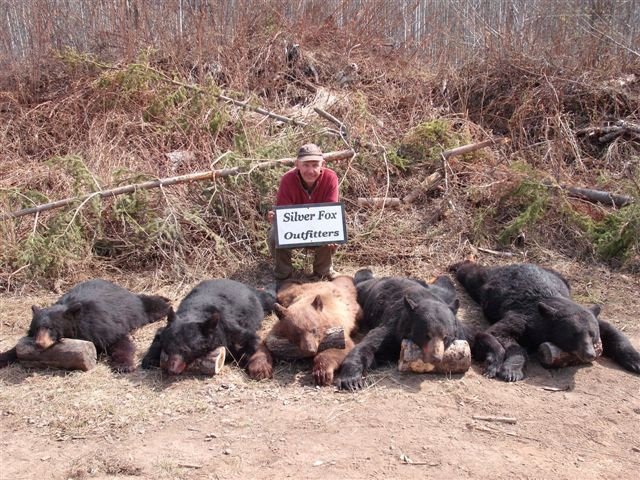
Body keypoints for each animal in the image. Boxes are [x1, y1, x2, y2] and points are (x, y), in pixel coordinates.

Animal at [0, 280, 171, 374]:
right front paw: (4, 356)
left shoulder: (100, 326)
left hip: (136, 308)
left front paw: (124, 366)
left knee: (152, 305)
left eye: (51, 328)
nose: (39, 343)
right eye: (36, 328)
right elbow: (15, 350)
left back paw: (166, 301)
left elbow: (119, 341)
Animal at [141, 278, 274, 376]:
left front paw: (260, 368)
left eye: (186, 350)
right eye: (168, 348)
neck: (195, 313)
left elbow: (252, 340)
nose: (172, 370)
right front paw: (149, 359)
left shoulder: (228, 329)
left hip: (260, 298)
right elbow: (159, 335)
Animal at [336, 268, 464, 392]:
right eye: (427, 335)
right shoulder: (393, 327)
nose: (435, 358)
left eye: (446, 337)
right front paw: (351, 380)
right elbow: (368, 346)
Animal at [450, 260, 640, 380]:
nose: (589, 354)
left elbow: (613, 332)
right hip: (487, 284)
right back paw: (457, 265)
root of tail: (522, 262)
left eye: (592, 334)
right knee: (473, 276)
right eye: (574, 334)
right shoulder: (523, 319)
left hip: (561, 277)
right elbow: (502, 335)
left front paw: (635, 361)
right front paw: (512, 371)